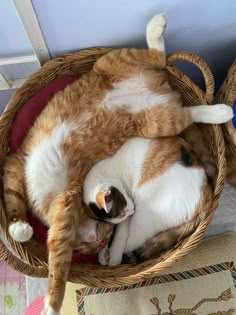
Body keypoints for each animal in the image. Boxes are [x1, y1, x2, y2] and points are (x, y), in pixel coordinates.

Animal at [2, 13, 233, 314]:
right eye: (103, 234)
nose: (100, 243)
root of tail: (158, 90)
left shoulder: (61, 206)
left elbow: (57, 266)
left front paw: (52, 305)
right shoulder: (14, 165)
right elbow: (13, 199)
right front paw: (20, 227)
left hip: (116, 67)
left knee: (166, 69)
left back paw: (218, 108)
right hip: (153, 115)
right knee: (174, 89)